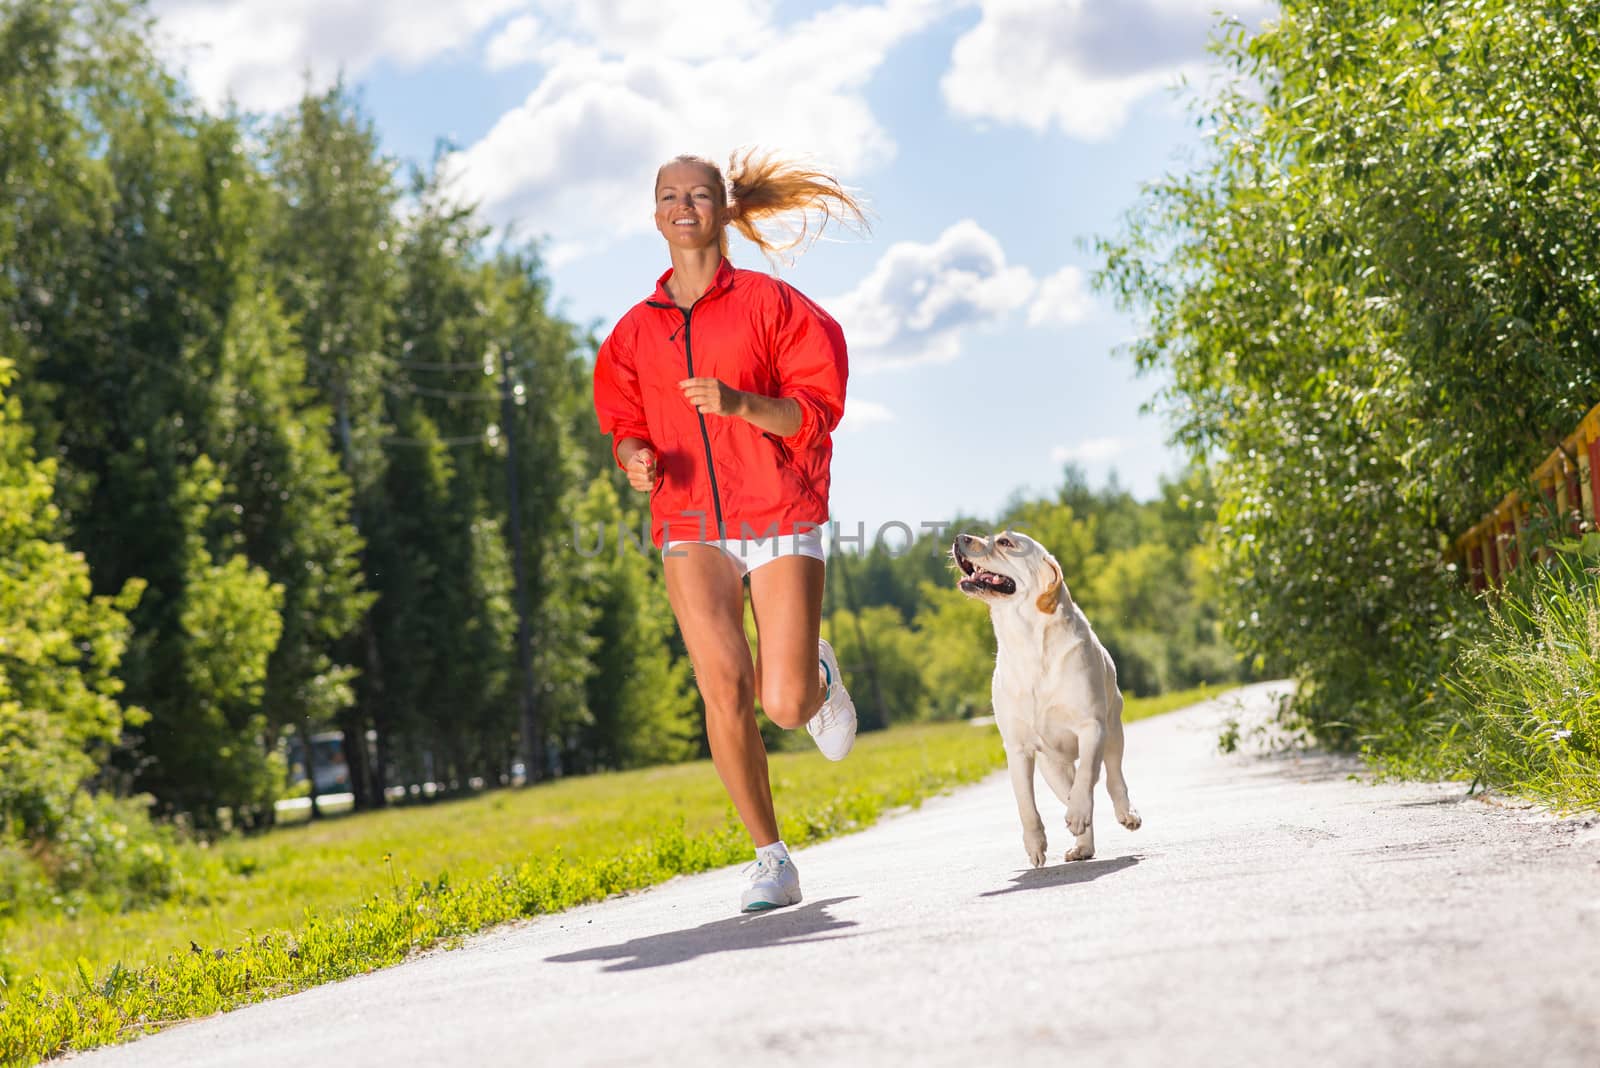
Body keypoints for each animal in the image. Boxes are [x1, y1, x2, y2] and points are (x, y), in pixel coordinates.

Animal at [947, 530, 1139, 863]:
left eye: (1005, 543)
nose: (960, 536)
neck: (1024, 638)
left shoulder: (1091, 726)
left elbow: (1087, 776)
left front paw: (1078, 813)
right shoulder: (1017, 748)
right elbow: (1026, 803)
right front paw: (1035, 844)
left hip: (1114, 730)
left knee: (1112, 779)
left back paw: (1125, 814)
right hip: (1052, 766)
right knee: (1072, 790)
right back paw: (1082, 846)